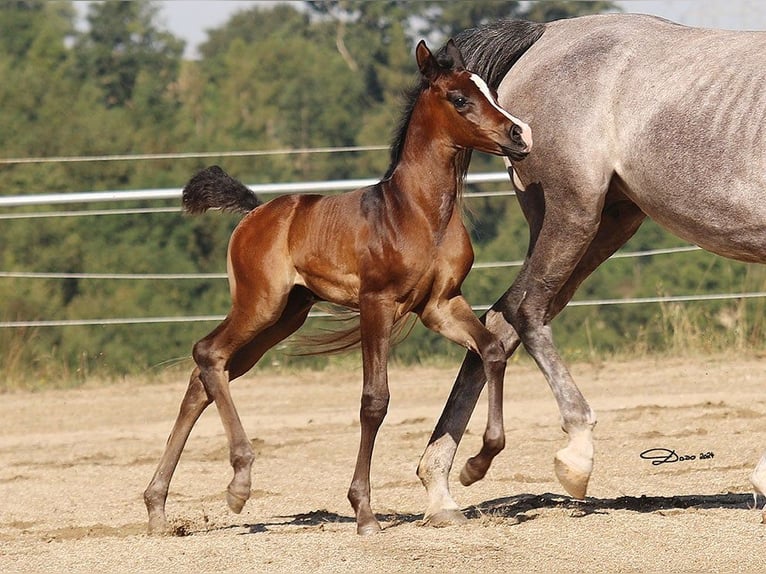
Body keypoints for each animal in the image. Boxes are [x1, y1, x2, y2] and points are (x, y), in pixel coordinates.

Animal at [144, 39, 532, 536]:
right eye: (460, 98)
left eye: (491, 91)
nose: (519, 136)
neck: (419, 211)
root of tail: (256, 212)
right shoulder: (376, 303)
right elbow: (374, 401)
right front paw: (364, 513)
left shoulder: (441, 304)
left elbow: (492, 351)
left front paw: (477, 464)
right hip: (259, 305)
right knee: (207, 354)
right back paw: (238, 484)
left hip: (284, 317)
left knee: (207, 375)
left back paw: (158, 506)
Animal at [416, 13, 766, 528]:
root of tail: (546, 34)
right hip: (573, 213)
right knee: (525, 312)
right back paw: (574, 456)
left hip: (608, 223)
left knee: (499, 320)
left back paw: (444, 486)